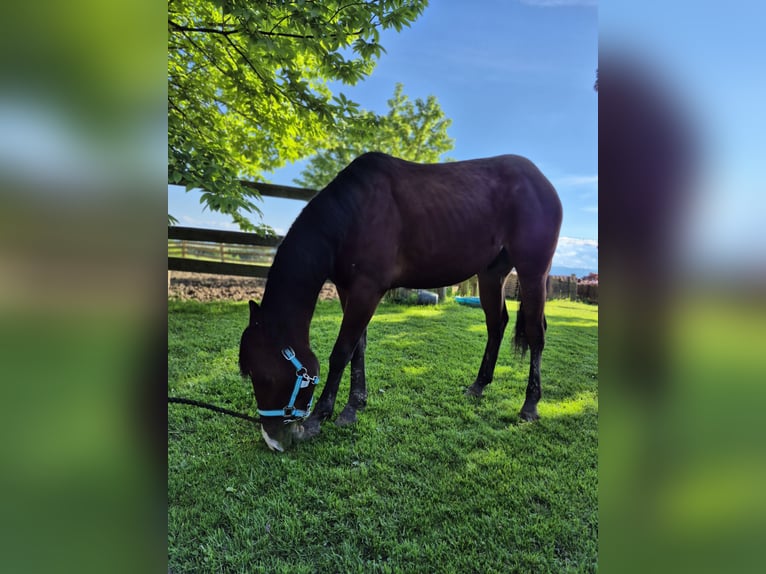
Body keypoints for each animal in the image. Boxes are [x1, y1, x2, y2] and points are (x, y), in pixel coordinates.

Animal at [239, 152, 562, 451]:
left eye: (263, 376)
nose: (273, 440)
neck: (354, 212)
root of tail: (541, 180)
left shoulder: (368, 288)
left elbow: (342, 351)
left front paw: (320, 416)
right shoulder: (347, 288)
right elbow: (358, 347)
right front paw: (354, 405)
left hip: (533, 272)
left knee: (536, 333)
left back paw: (530, 404)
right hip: (491, 274)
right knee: (497, 325)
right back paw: (479, 385)